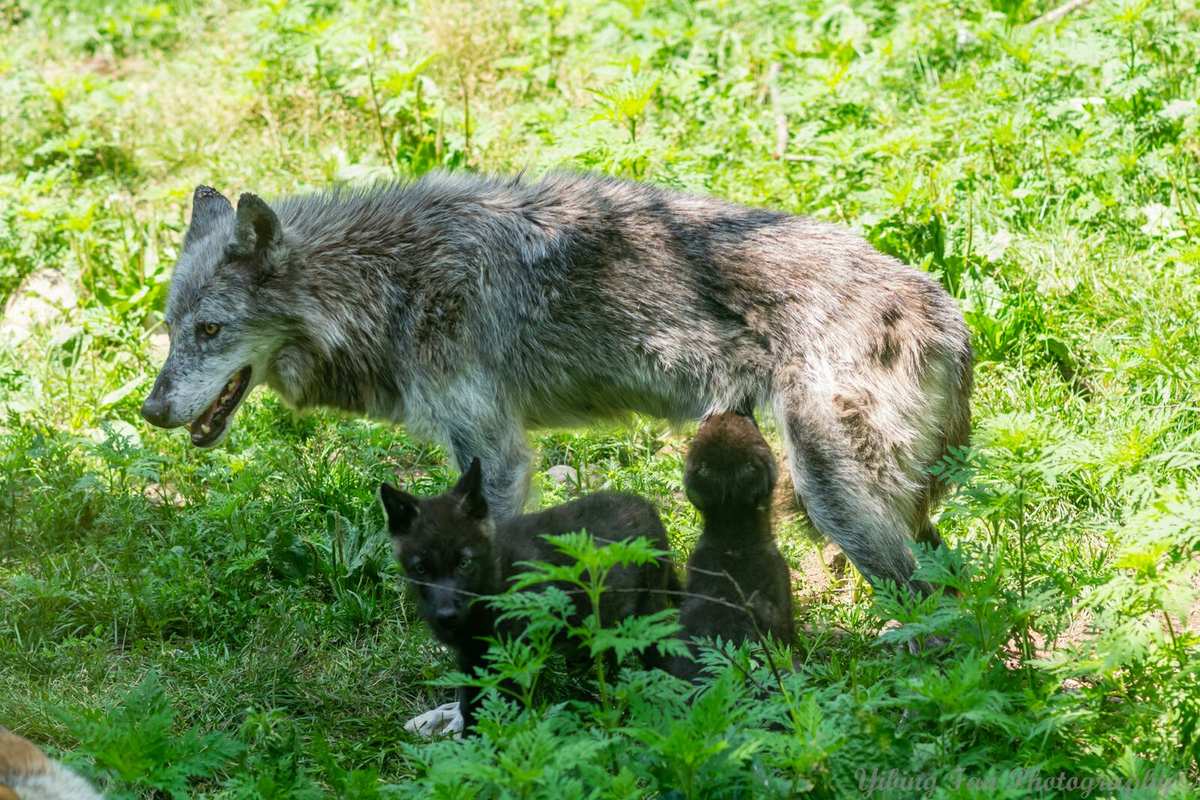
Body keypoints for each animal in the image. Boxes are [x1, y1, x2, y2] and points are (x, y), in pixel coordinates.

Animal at [140, 172, 969, 592]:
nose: (150, 410)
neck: (387, 286)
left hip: (834, 499)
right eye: (172, 328)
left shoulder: (497, 457)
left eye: (209, 331)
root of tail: (946, 313)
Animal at [376, 455, 676, 734]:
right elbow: (472, 713)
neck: (495, 580)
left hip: (649, 618)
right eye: (421, 568)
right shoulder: (472, 662)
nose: (446, 617)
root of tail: (647, 506)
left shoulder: (517, 662)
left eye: (464, 563)